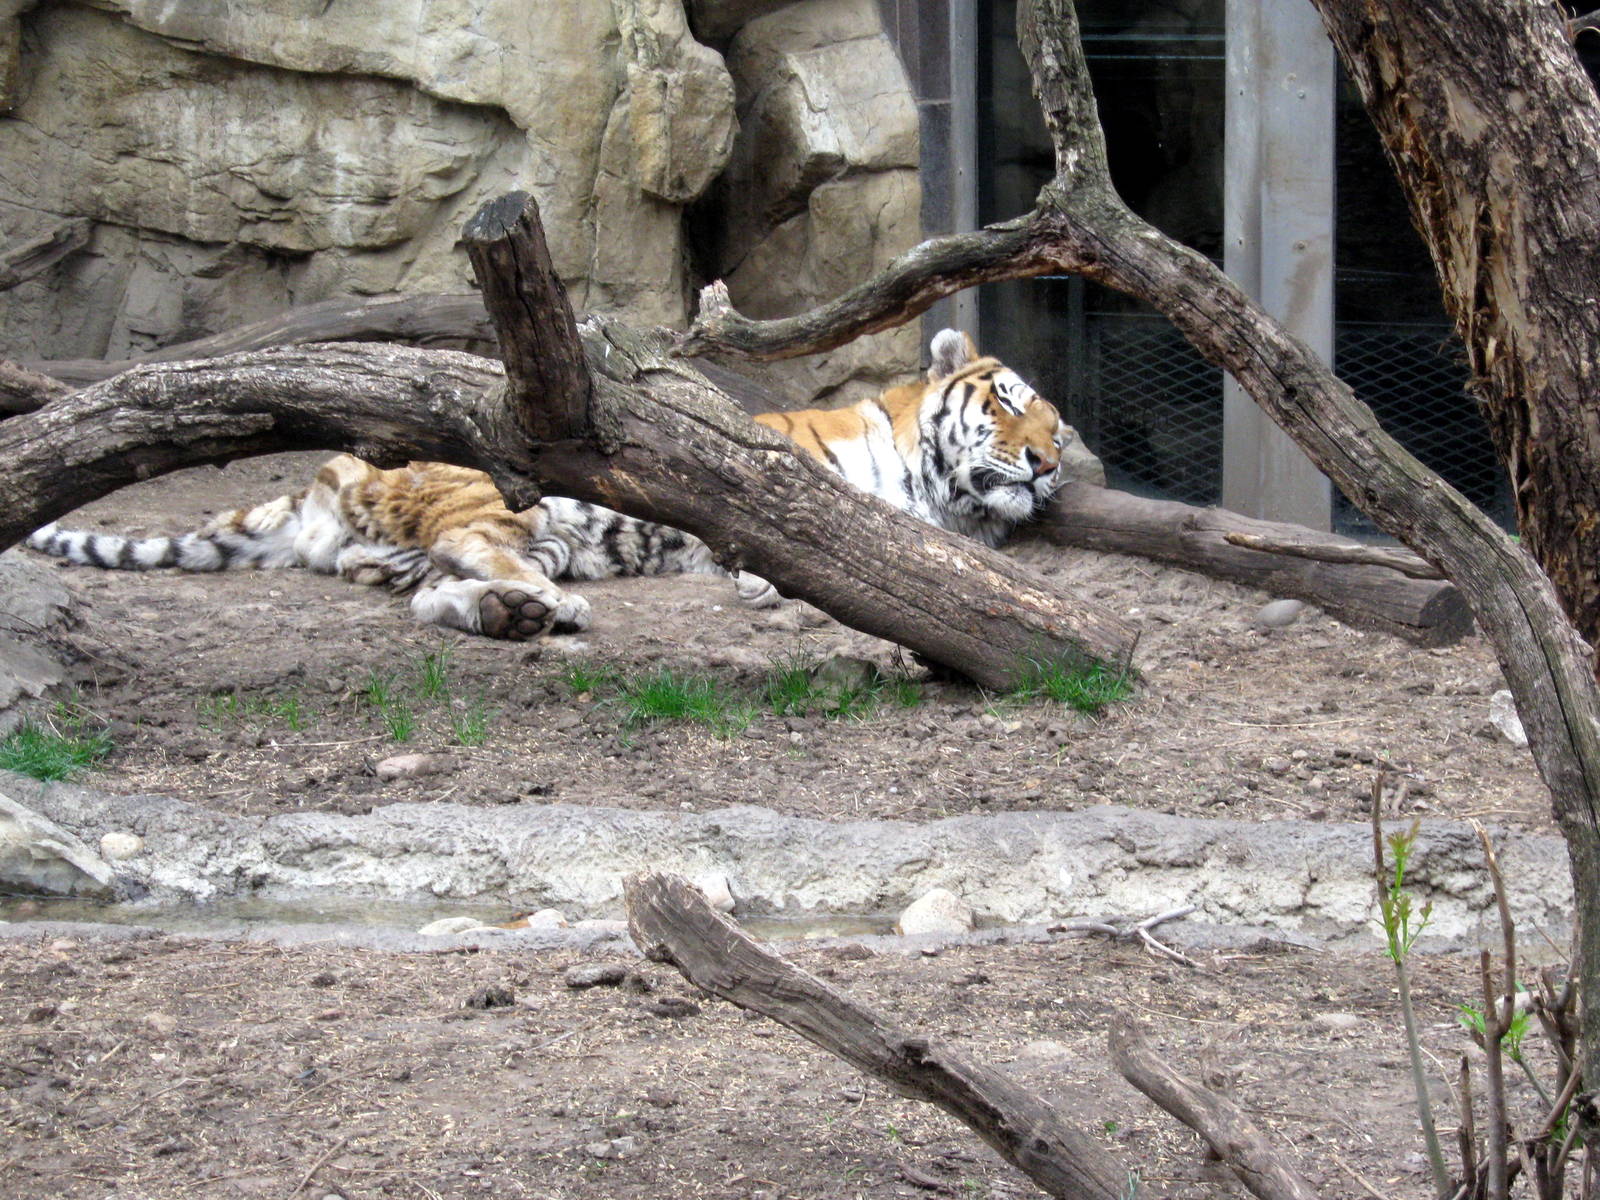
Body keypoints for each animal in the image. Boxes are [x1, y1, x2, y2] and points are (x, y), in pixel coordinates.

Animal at [26, 328, 1076, 641]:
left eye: (1058, 426)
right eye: (1010, 402)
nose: (1050, 461)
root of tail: (323, 476)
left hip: (470, 543)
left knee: (422, 589)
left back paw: (508, 615)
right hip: (502, 494)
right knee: (470, 548)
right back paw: (540, 608)